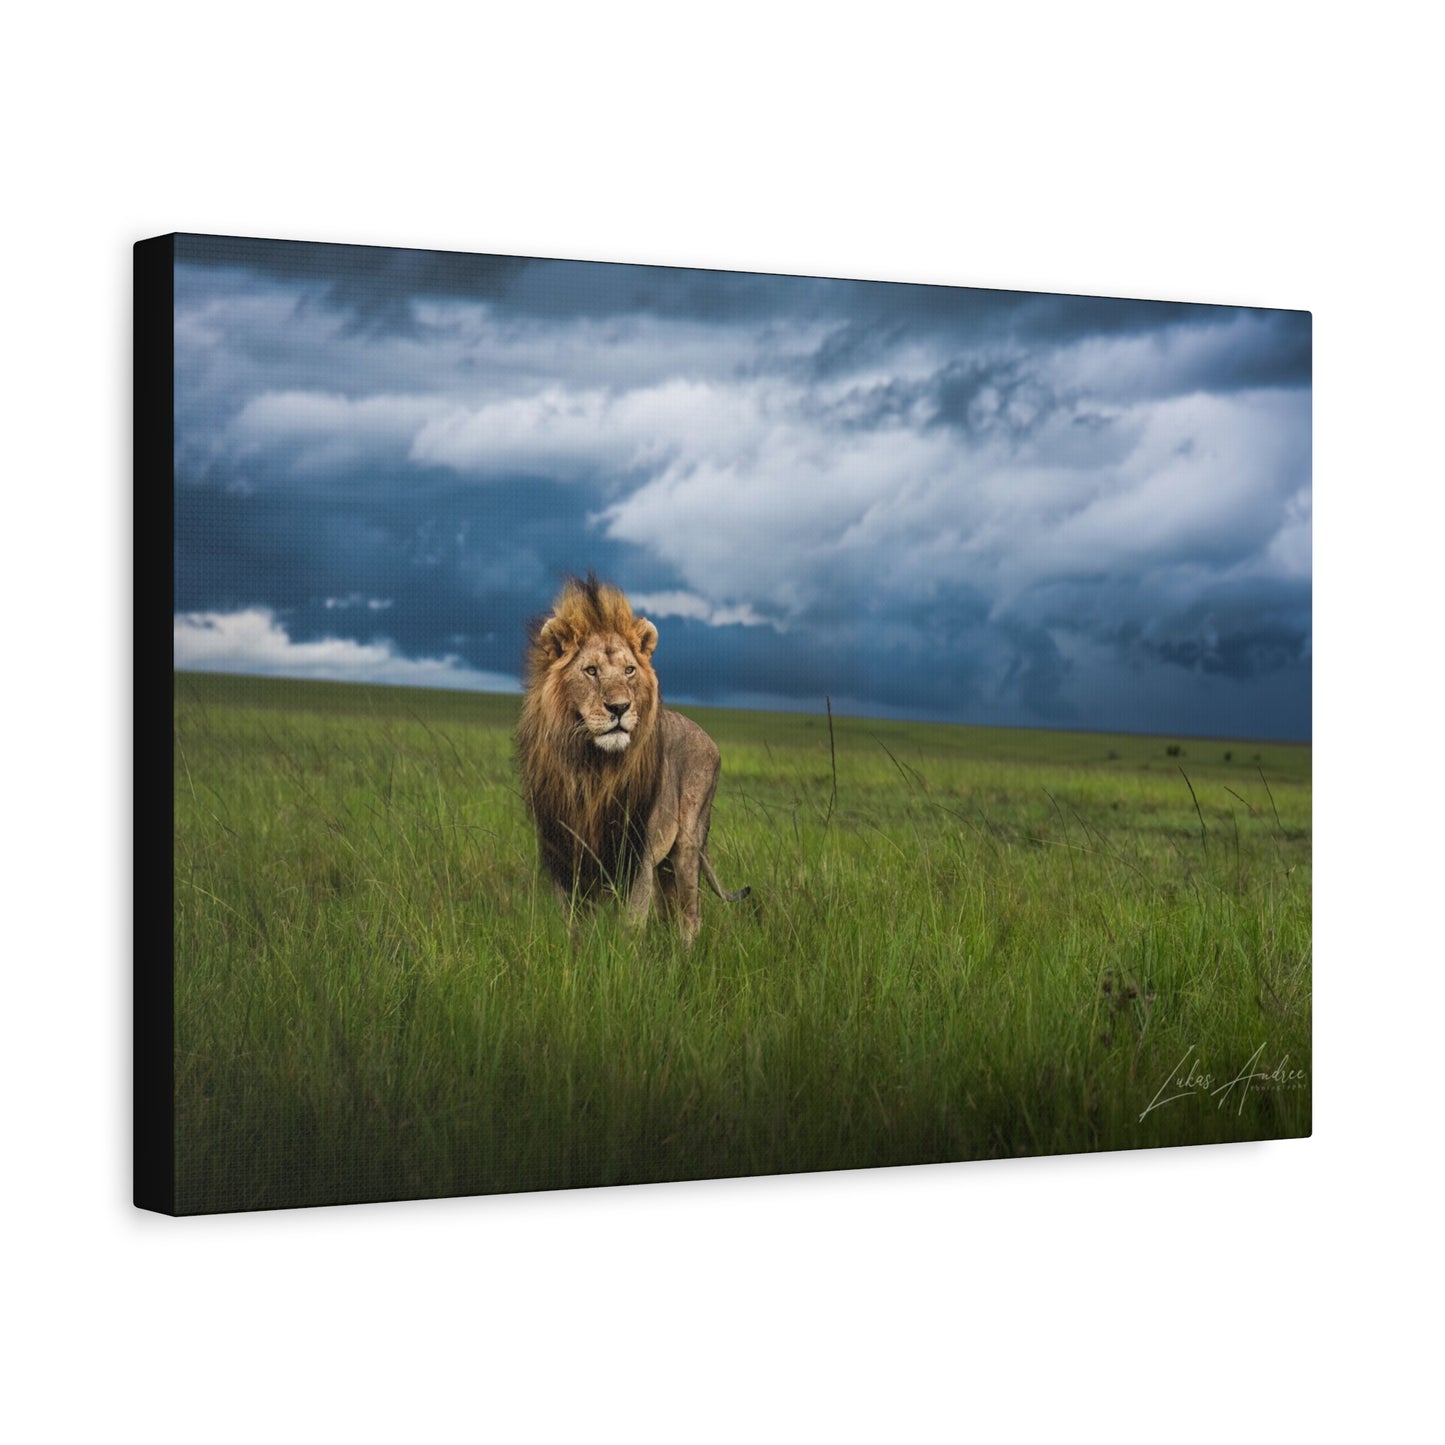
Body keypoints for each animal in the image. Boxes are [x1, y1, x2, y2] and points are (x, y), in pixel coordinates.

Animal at [516, 574, 750, 941]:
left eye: (628, 670)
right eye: (591, 671)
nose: (620, 707)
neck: (593, 770)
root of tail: (707, 736)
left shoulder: (637, 855)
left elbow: (630, 926)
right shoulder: (563, 853)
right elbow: (573, 925)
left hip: (687, 842)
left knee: (689, 916)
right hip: (664, 865)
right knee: (669, 911)